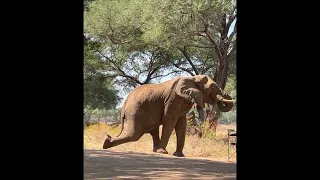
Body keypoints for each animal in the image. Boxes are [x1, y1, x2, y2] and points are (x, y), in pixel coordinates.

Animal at [102, 74, 235, 156]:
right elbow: (170, 122)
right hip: (135, 112)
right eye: (212, 87)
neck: (192, 78)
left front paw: (179, 155)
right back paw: (106, 143)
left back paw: (154, 150)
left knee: (150, 131)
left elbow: (181, 125)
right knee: (134, 134)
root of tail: (124, 106)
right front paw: (163, 153)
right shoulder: (174, 99)